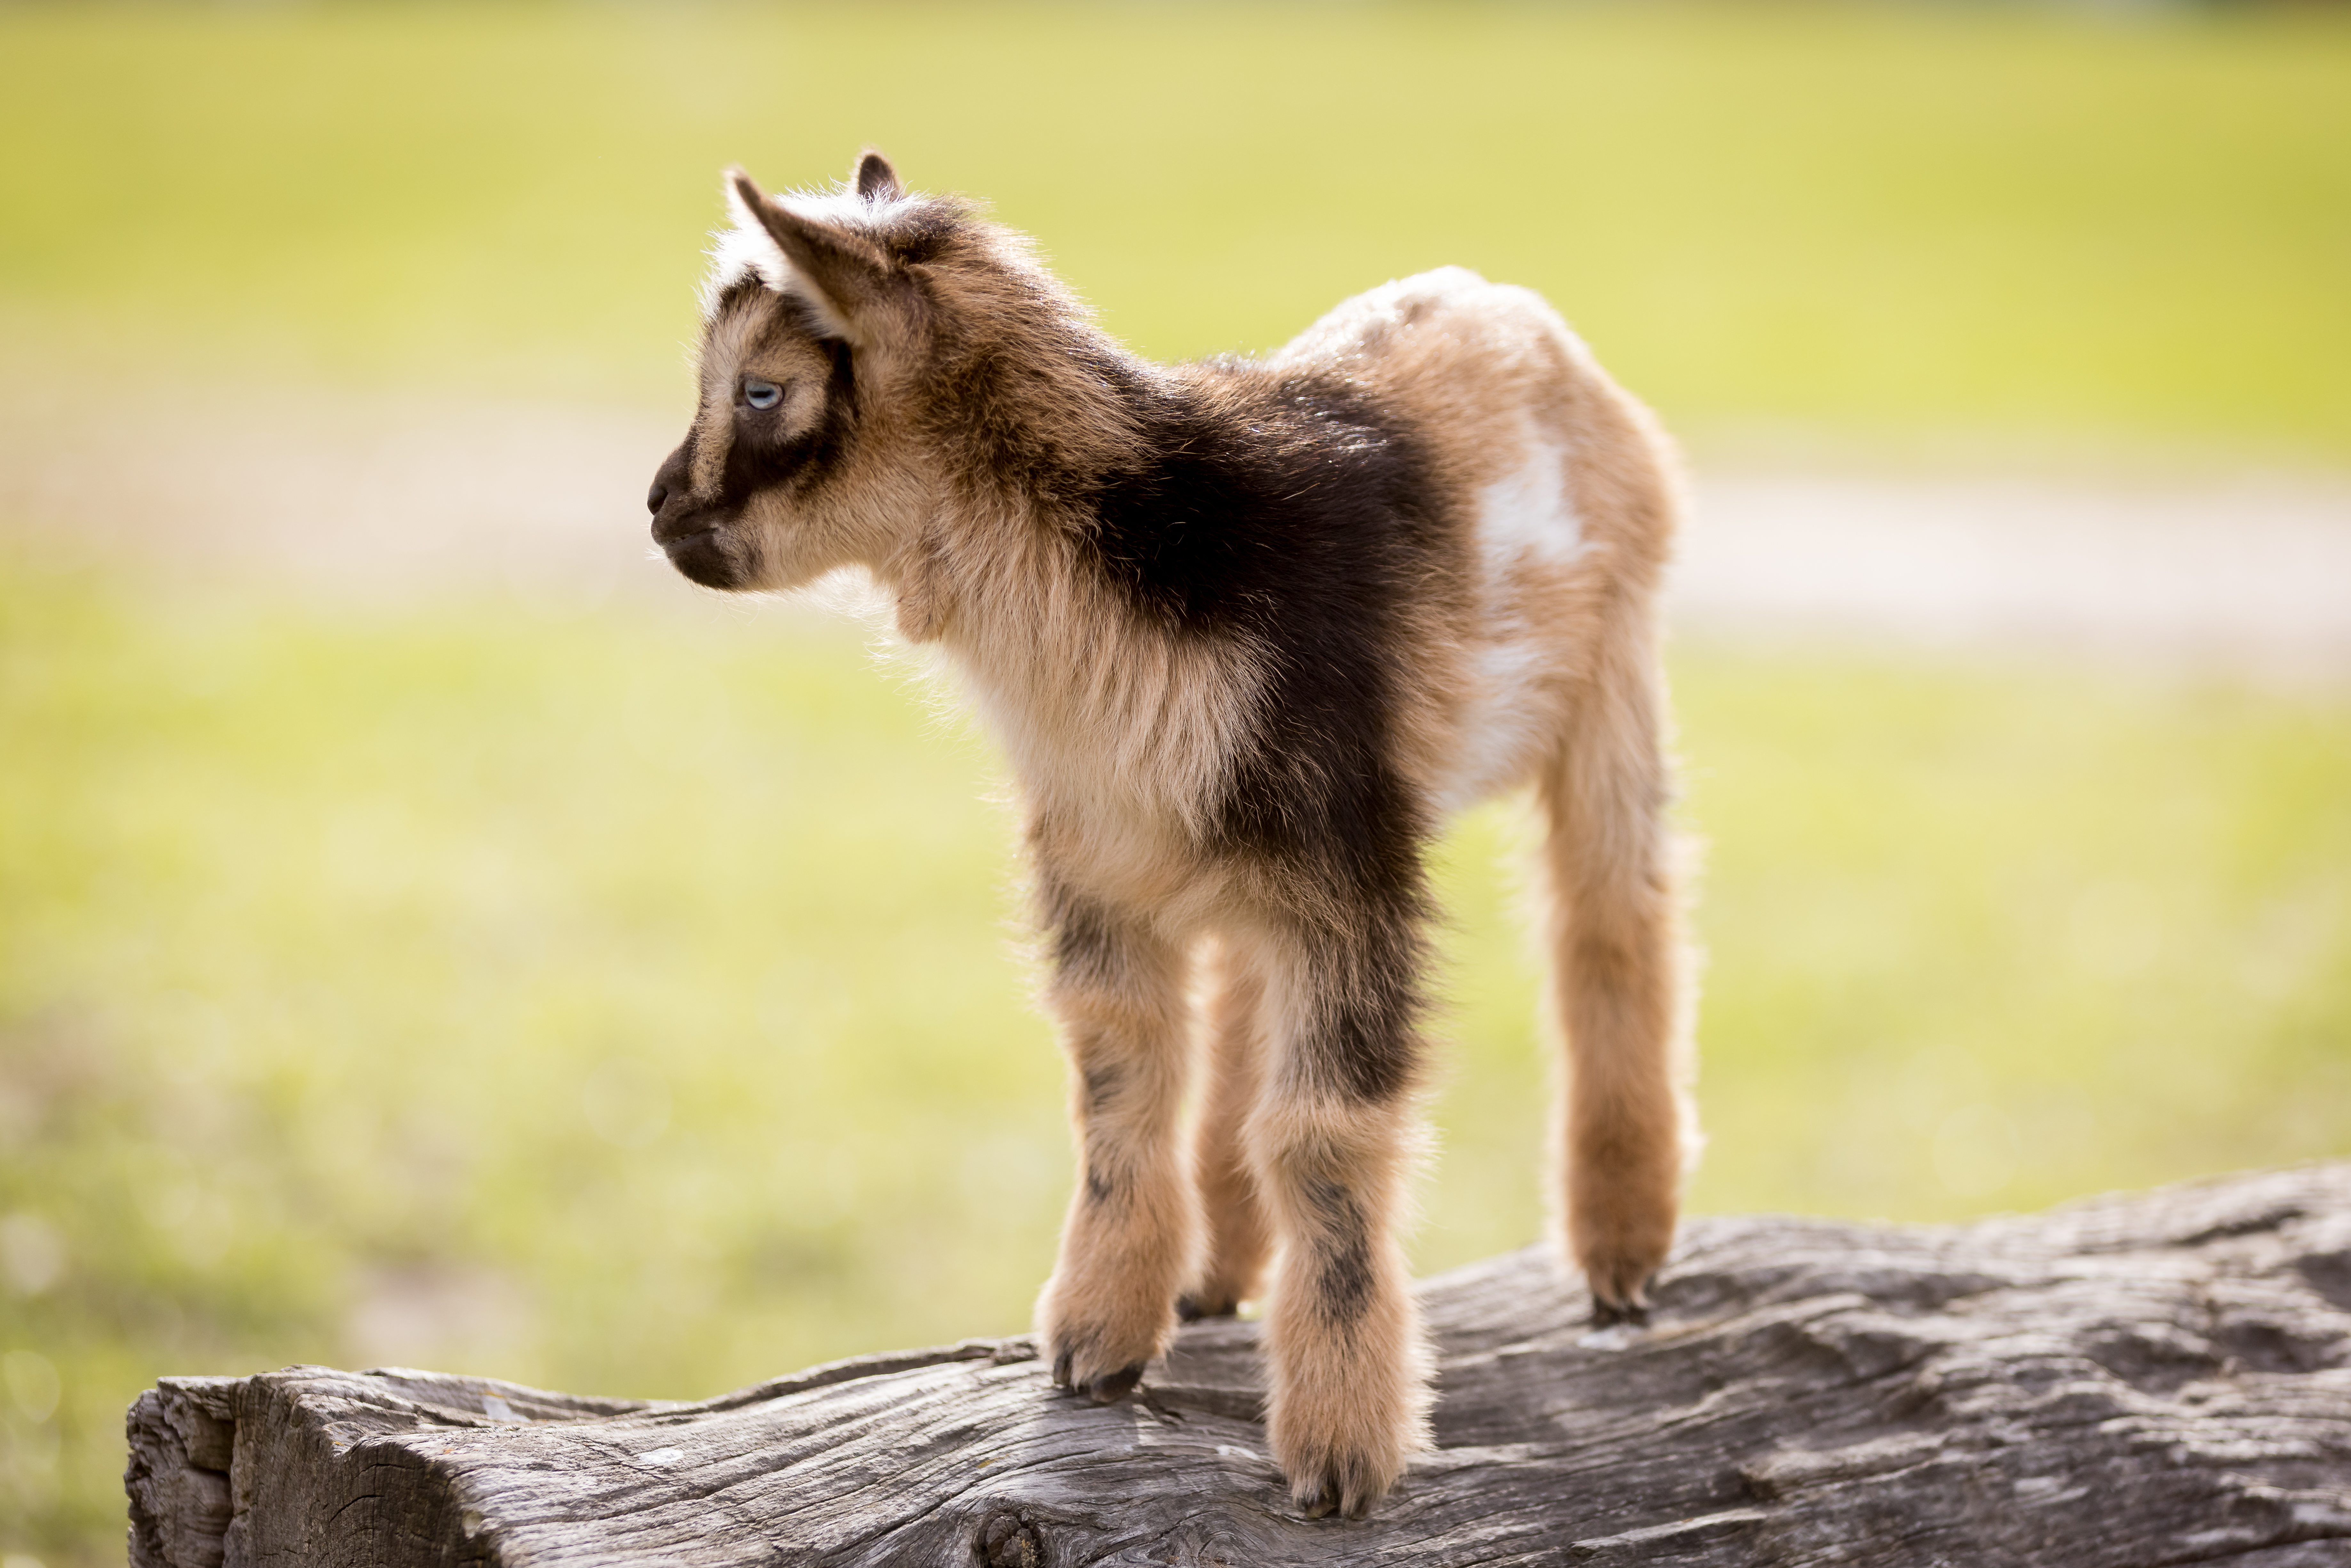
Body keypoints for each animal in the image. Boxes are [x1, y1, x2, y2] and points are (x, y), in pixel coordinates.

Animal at [646, 151, 1696, 1521]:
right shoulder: (1095, 860)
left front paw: (1342, 1455)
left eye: (763, 388)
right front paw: (1094, 1344)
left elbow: (1325, 1133)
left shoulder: (1349, 869)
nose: (658, 509)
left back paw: (1621, 1250)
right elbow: (1117, 1080)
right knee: (1244, 1012)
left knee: (1612, 920)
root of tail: (1501, 305)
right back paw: (1214, 1275)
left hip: (1612, 681)